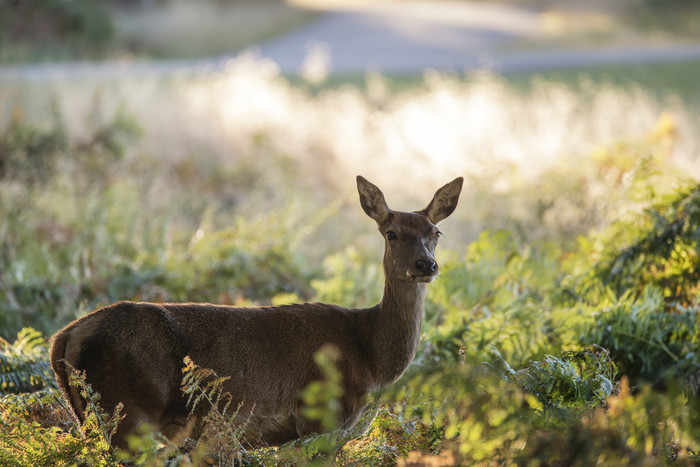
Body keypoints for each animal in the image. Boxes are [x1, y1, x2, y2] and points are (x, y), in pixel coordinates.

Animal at [50, 176, 464, 450]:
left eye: (436, 233)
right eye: (391, 233)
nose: (426, 265)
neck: (369, 358)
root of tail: (64, 338)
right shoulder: (320, 421)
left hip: (92, 417)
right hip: (129, 410)